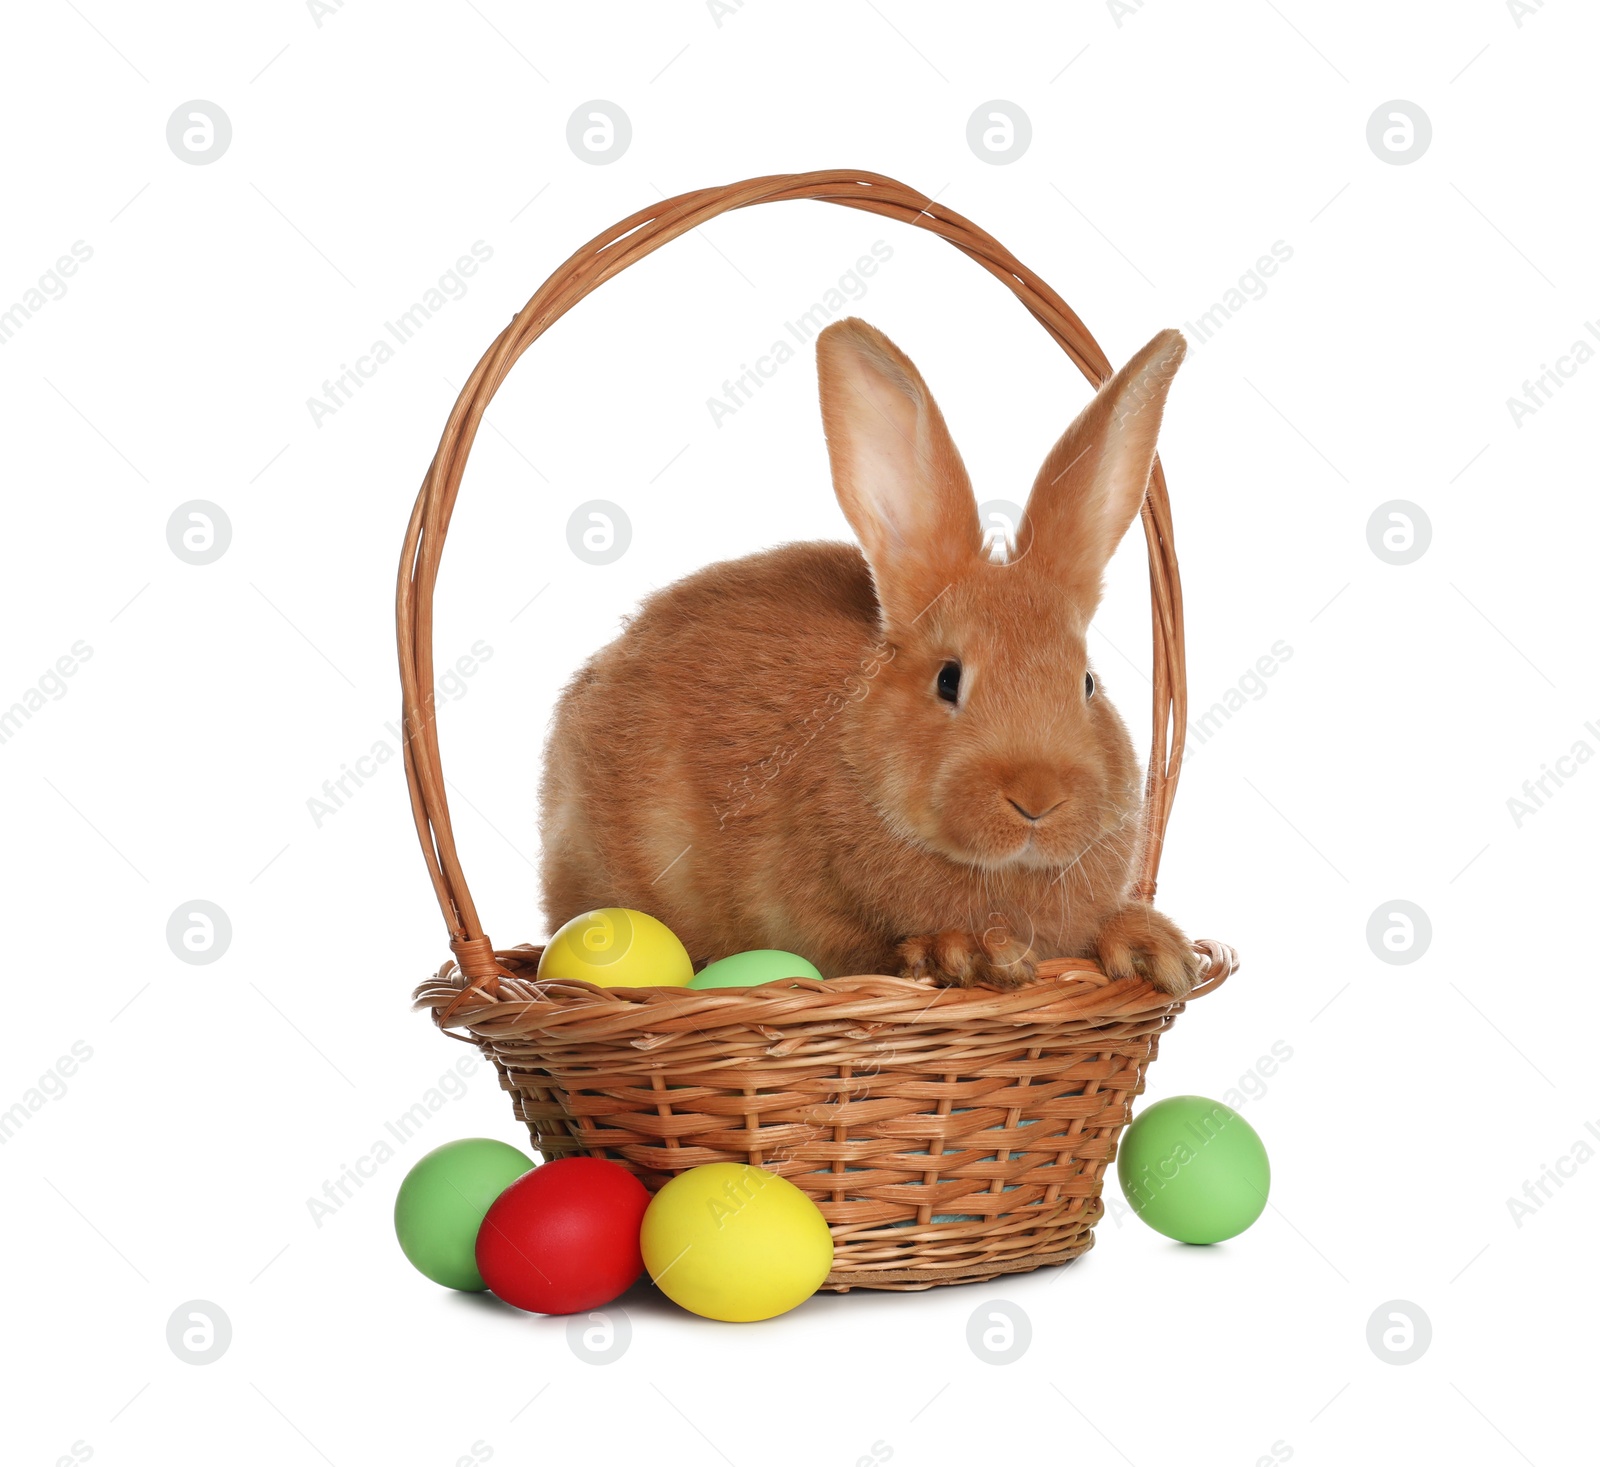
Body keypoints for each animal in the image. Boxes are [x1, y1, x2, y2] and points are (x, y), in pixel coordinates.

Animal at [540, 318, 1203, 998]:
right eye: (948, 679)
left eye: (1088, 683)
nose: (1037, 799)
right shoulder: (818, 923)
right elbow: (868, 950)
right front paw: (969, 953)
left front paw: (1154, 949)